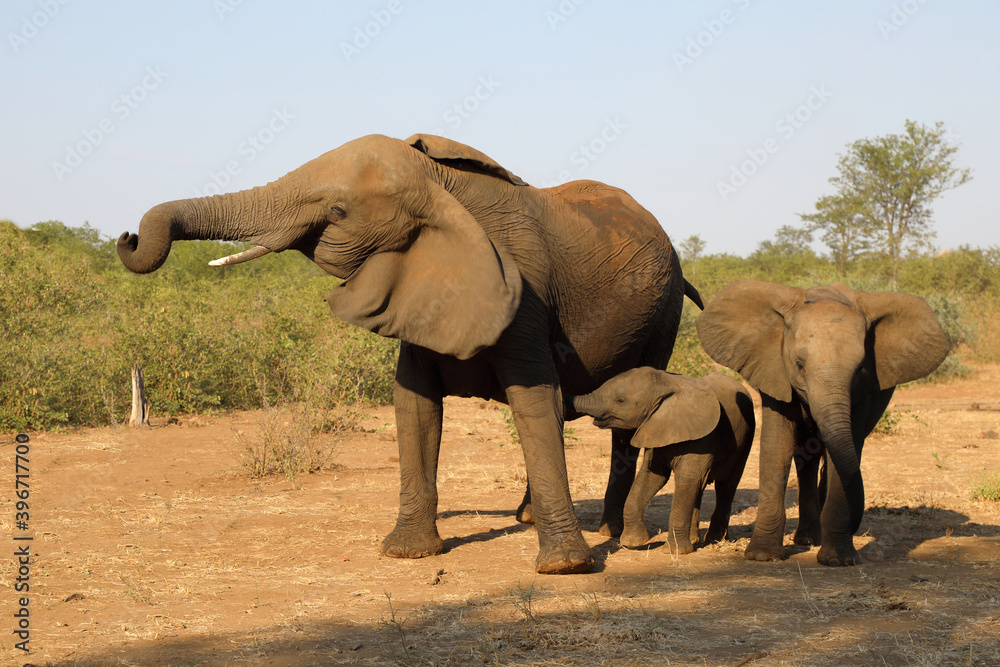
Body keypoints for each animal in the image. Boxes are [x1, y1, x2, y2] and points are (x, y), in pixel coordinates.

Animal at [116, 133, 703, 574]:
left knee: (626, 416)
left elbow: (533, 399)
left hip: (664, 313)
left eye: (337, 209)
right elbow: (415, 405)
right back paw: (527, 519)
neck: (438, 187)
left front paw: (565, 568)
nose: (126, 238)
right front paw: (406, 553)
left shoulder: (526, 293)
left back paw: (614, 533)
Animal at [569, 368, 754, 553]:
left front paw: (674, 552)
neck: (667, 383)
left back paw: (714, 540)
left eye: (620, 400)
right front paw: (633, 542)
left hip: (744, 441)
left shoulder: (705, 437)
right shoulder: (655, 427)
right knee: (701, 487)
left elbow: (687, 479)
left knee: (726, 486)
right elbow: (652, 476)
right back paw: (695, 539)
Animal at [696, 279, 948, 566]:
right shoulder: (774, 371)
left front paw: (838, 560)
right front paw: (762, 556)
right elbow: (777, 445)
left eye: (861, 368)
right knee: (808, 456)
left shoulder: (863, 392)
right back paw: (807, 539)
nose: (854, 525)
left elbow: (848, 446)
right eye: (799, 364)